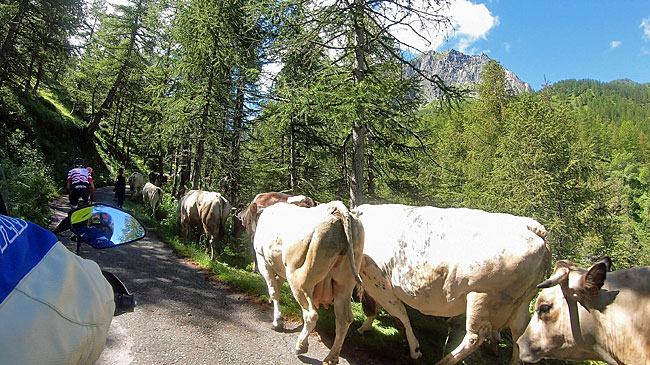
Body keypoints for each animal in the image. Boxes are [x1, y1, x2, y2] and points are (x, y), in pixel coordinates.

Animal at [253, 200, 364, 362]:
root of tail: (337, 209)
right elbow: (277, 285)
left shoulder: (263, 260)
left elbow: (274, 291)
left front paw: (277, 321)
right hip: (344, 284)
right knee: (344, 320)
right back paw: (331, 358)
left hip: (299, 280)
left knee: (311, 315)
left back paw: (301, 346)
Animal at [354, 203, 548, 362]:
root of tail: (530, 225)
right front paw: (366, 326)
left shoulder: (378, 281)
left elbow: (398, 313)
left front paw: (414, 349)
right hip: (521, 302)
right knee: (520, 333)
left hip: (483, 298)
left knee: (474, 338)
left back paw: (445, 360)